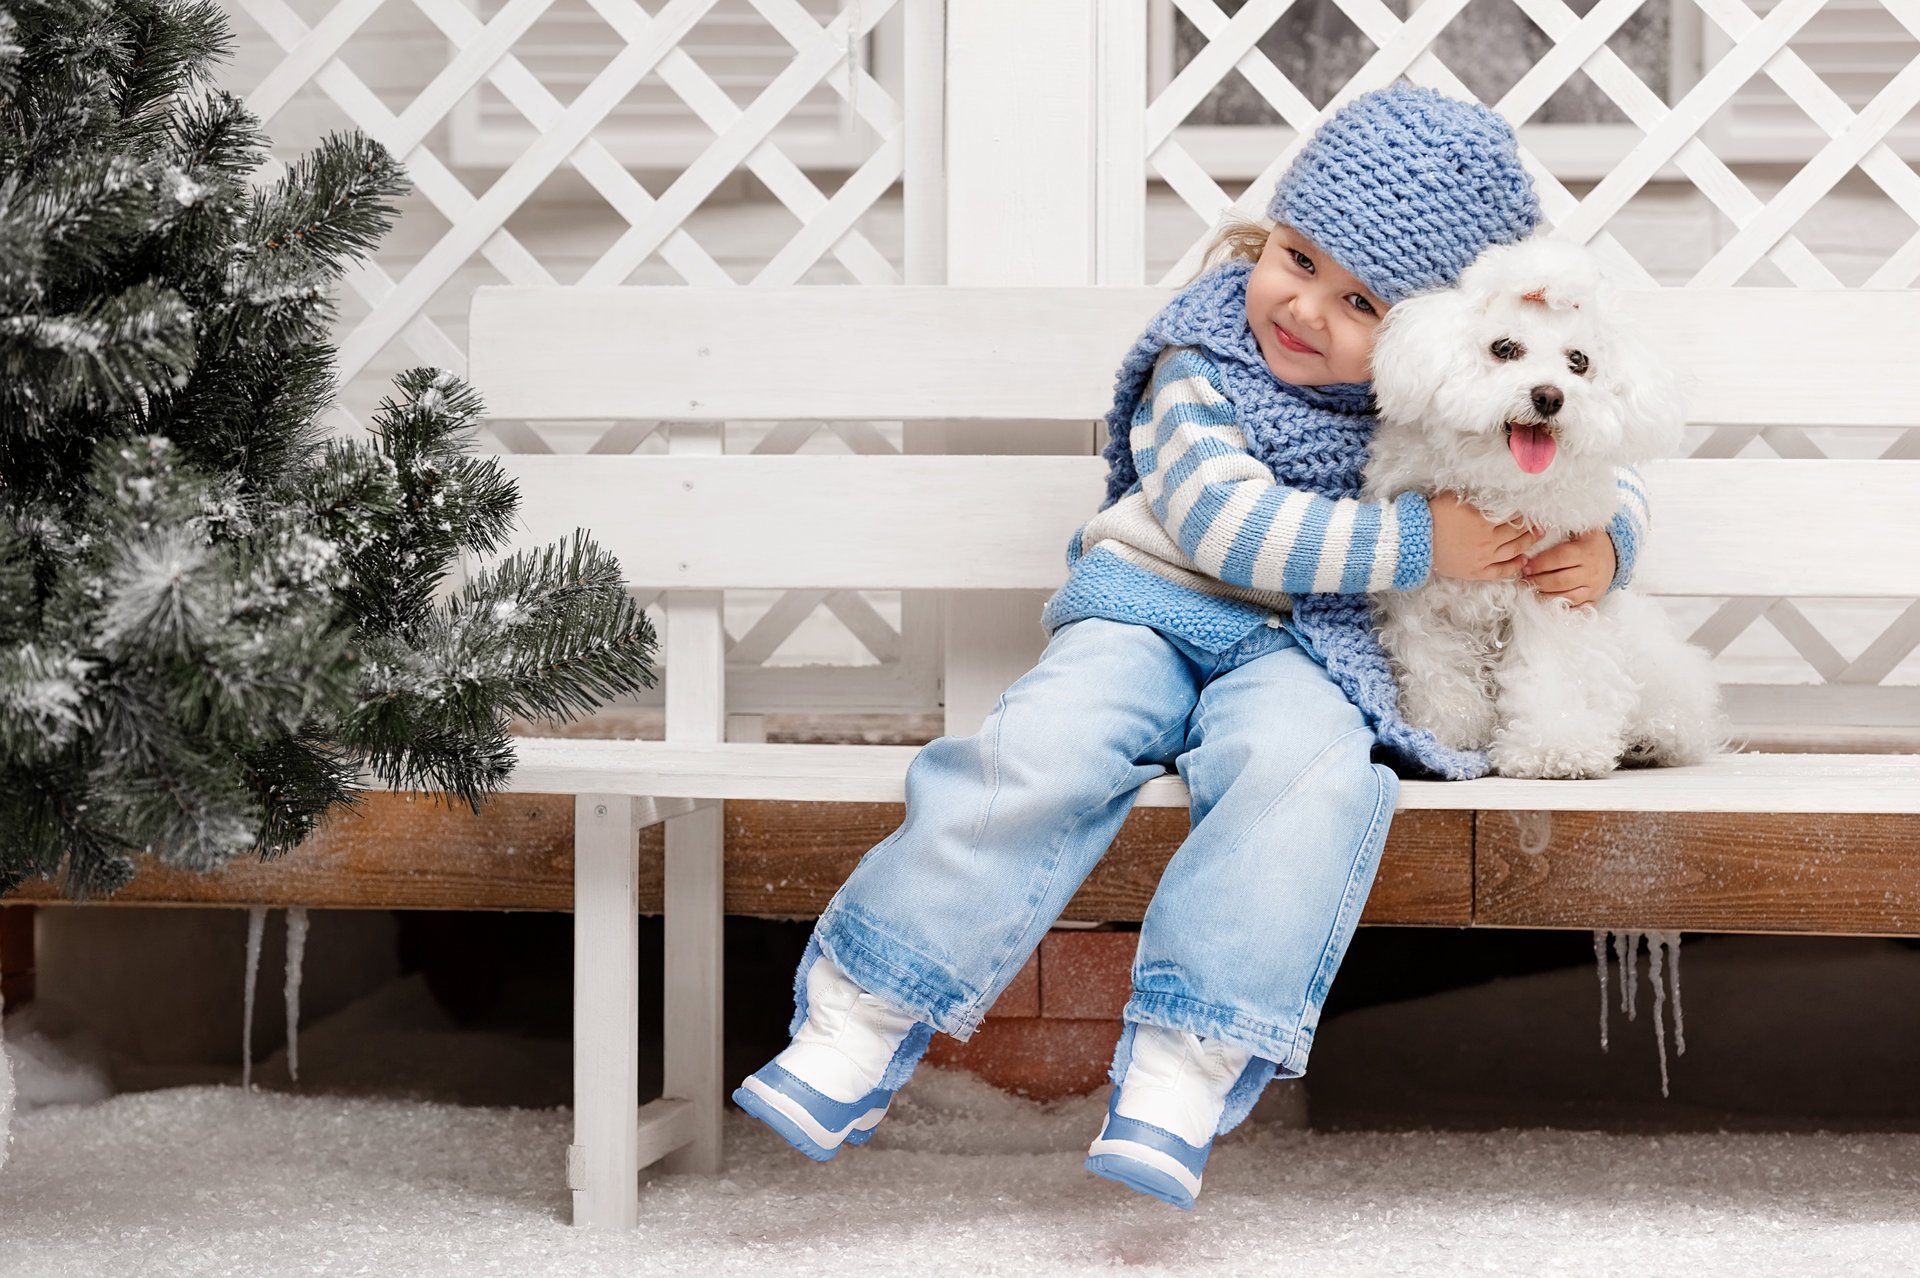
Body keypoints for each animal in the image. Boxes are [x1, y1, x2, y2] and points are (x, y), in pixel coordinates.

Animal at [1367, 238, 1728, 775]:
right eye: (1504, 348)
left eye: (1578, 361)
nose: (1549, 396)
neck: (1500, 487)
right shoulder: (1423, 610)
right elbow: (1442, 679)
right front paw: (1448, 737)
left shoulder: (1550, 600)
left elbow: (1552, 677)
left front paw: (1555, 746)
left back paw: (1650, 739)